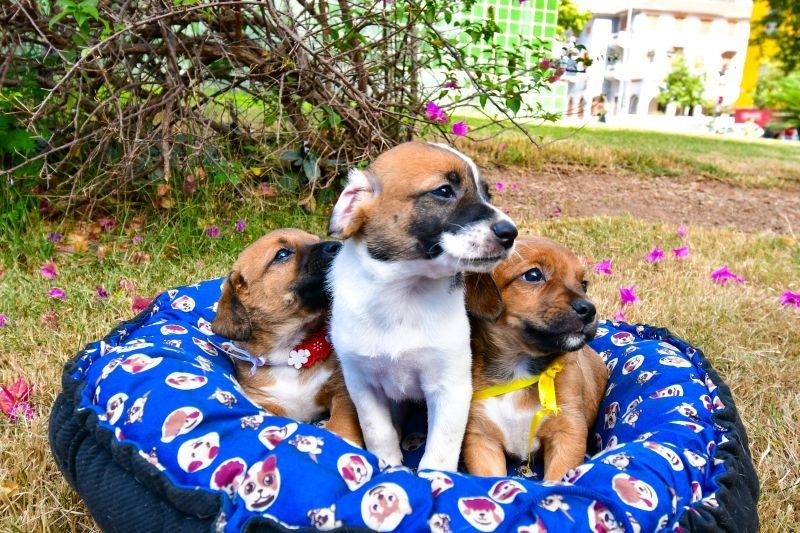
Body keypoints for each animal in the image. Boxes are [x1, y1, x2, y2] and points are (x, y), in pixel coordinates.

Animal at [212, 227, 362, 442]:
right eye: (282, 254)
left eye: (315, 239)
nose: (338, 246)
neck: (291, 352)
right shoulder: (267, 403)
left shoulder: (342, 391)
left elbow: (341, 425)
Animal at [328, 141, 516, 470]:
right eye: (443, 191)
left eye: (487, 194)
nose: (511, 233)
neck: (404, 295)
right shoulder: (362, 384)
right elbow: (379, 432)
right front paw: (389, 465)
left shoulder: (451, 386)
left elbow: (441, 450)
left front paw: (436, 478)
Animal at [462, 235, 608, 480]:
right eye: (533, 275)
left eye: (584, 284)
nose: (589, 310)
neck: (519, 366)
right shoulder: (481, 438)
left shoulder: (568, 432)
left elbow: (557, 477)